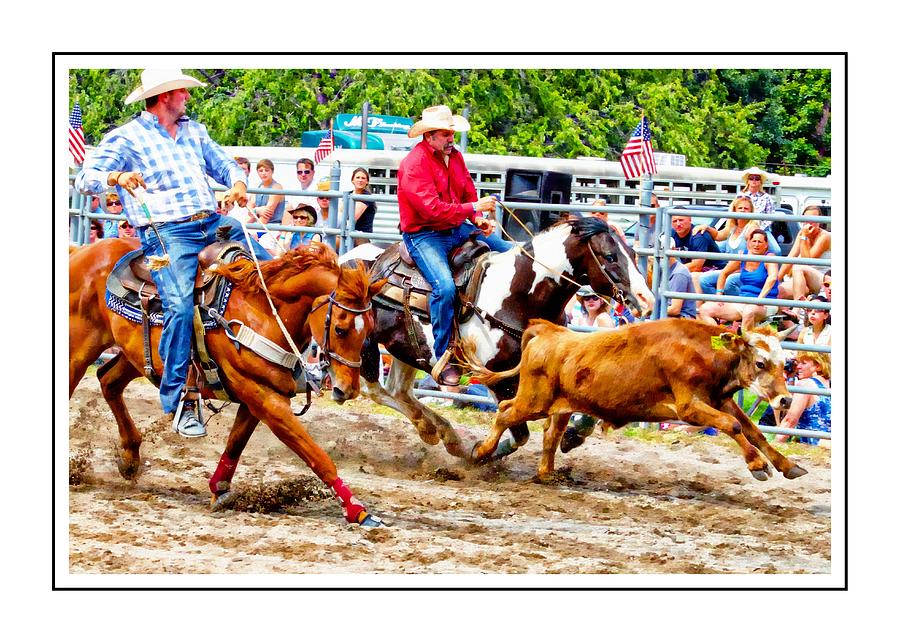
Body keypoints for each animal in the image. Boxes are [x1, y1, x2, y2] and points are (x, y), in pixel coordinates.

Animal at [69, 239, 386, 524]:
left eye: (370, 327)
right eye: (341, 328)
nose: (348, 390)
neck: (263, 311)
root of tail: (82, 251)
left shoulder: (258, 398)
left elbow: (236, 443)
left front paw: (220, 490)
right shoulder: (264, 398)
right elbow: (316, 455)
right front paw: (358, 511)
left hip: (135, 356)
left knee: (108, 381)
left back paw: (130, 459)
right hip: (79, 350)